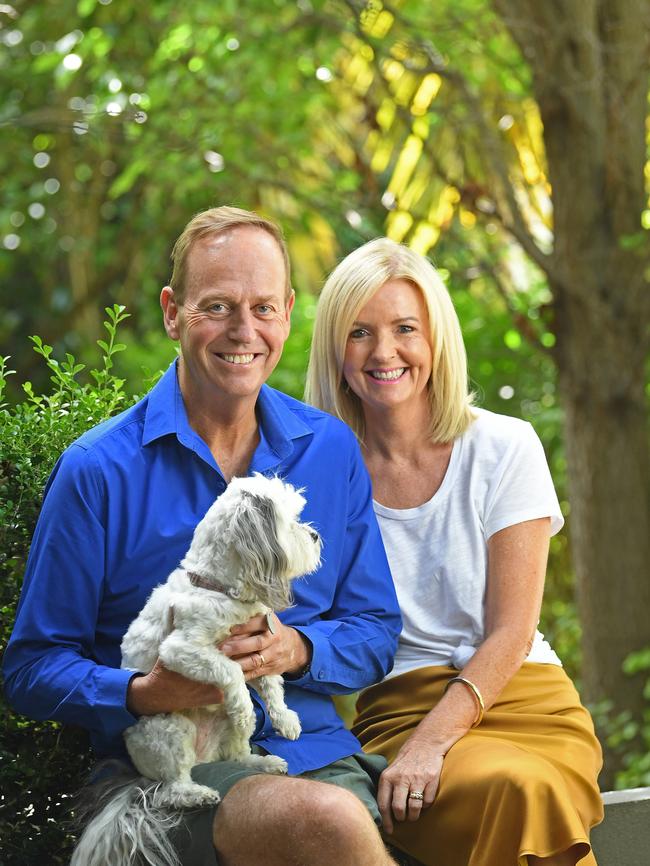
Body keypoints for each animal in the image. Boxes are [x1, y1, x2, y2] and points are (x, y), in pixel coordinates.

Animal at [71, 472, 322, 864]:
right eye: (290, 522)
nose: (314, 536)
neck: (219, 588)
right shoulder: (182, 650)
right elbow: (232, 673)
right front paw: (246, 707)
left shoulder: (260, 644)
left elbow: (271, 683)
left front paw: (285, 720)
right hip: (171, 730)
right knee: (171, 788)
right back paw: (197, 793)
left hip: (221, 732)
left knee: (237, 754)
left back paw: (262, 764)